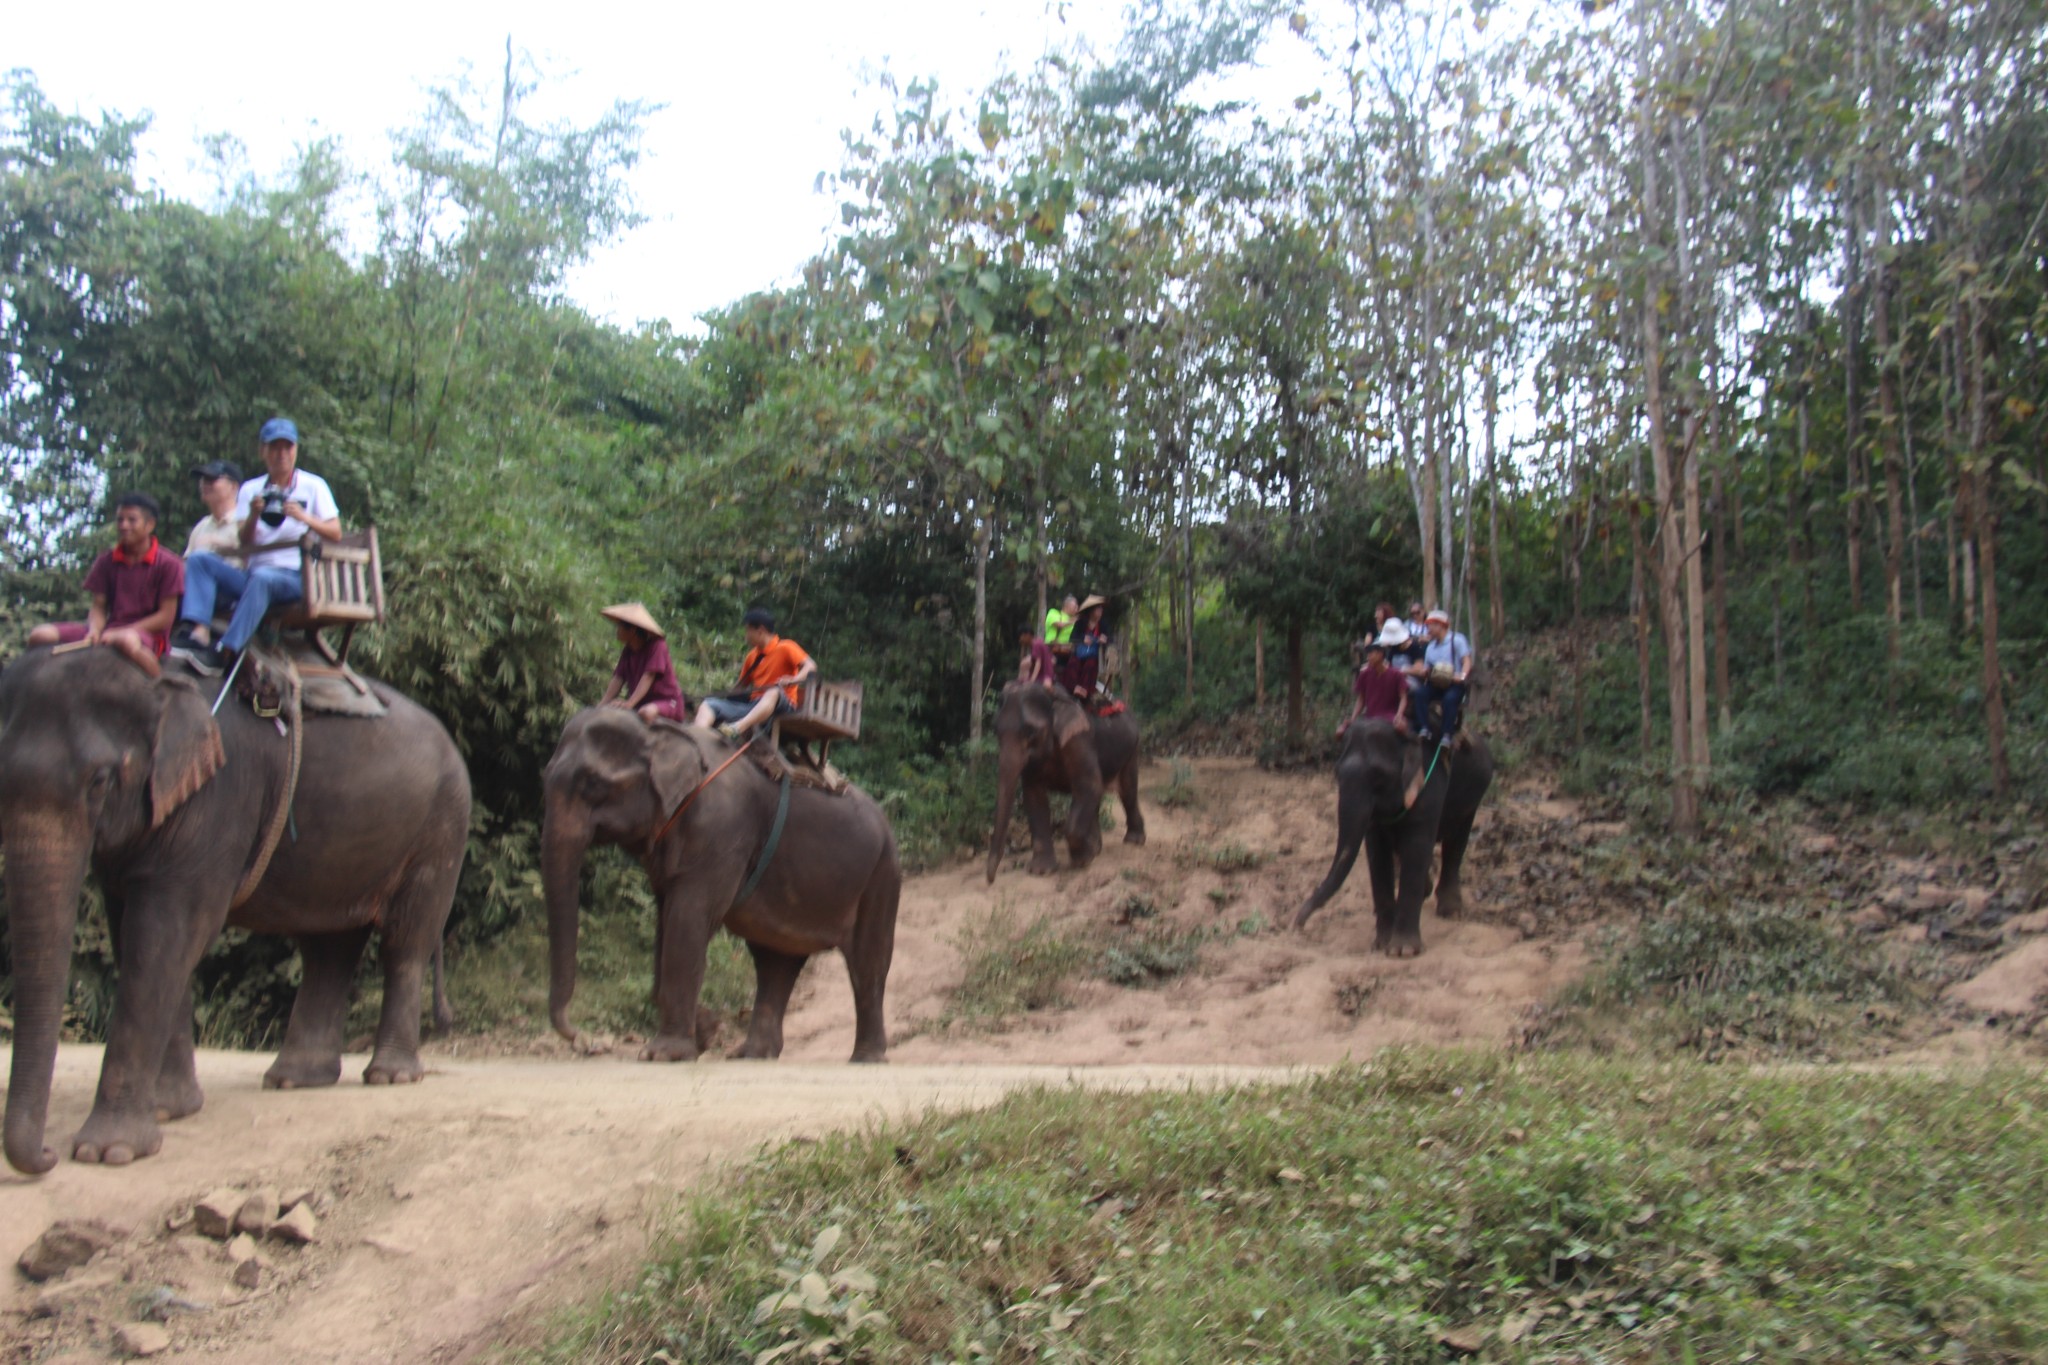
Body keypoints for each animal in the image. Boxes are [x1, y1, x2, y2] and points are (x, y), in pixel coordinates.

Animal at [0, 642, 468, 1178]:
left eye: (99, 781)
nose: (46, 1156)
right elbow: (140, 936)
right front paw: (170, 1110)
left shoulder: (217, 803)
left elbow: (167, 933)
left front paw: (108, 1152)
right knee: (330, 946)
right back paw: (294, 1079)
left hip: (440, 829)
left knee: (404, 942)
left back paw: (389, 1077)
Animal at [540, 712, 901, 1072]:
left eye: (592, 783)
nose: (586, 1040)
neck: (659, 733)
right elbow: (666, 922)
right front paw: (706, 1031)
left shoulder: (723, 832)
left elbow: (689, 919)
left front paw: (665, 1054)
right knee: (775, 962)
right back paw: (752, 1053)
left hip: (881, 874)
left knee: (868, 962)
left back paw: (865, 1059)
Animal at [987, 683, 1146, 888]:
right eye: (996, 730)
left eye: (1031, 732)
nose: (990, 880)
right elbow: (1034, 795)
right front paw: (1041, 871)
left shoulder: (1079, 740)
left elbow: (1089, 784)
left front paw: (1082, 861)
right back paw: (1096, 848)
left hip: (1132, 748)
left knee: (1128, 792)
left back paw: (1133, 841)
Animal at [1294, 720, 1490, 957]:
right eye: (1337, 773)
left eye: (1379, 776)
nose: (1298, 925)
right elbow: (1377, 854)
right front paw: (1381, 944)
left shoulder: (1429, 786)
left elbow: (1416, 846)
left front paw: (1402, 951)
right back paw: (1426, 891)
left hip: (1473, 798)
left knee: (1456, 843)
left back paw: (1450, 912)